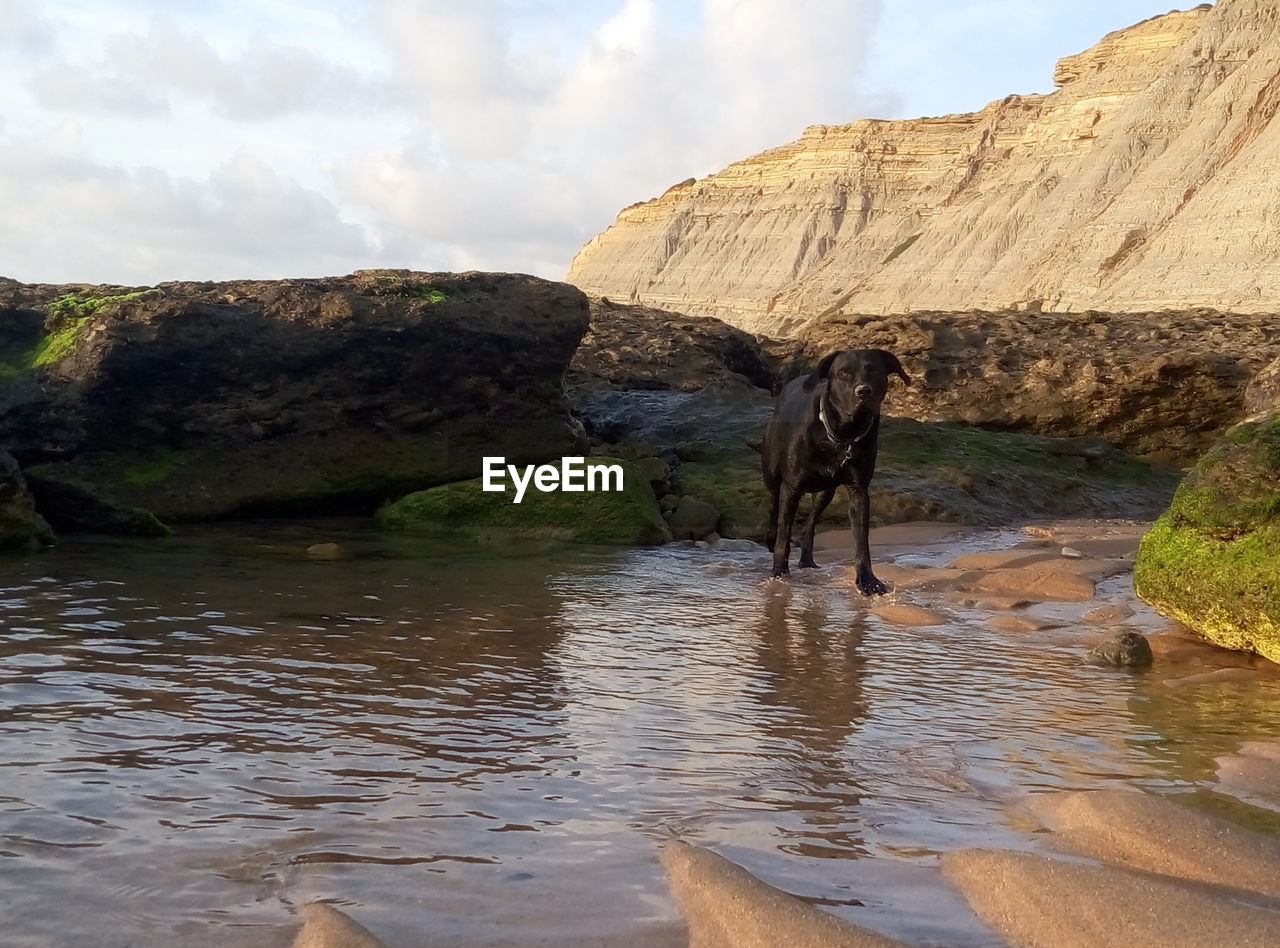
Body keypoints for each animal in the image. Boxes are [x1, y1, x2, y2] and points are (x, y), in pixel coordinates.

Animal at [757, 350, 911, 591]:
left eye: (874, 370)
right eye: (843, 373)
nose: (863, 391)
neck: (844, 434)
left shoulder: (859, 491)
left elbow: (861, 541)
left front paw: (867, 581)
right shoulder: (791, 488)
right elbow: (784, 535)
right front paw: (779, 573)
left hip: (826, 490)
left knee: (810, 523)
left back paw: (807, 560)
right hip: (772, 471)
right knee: (774, 506)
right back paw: (772, 540)